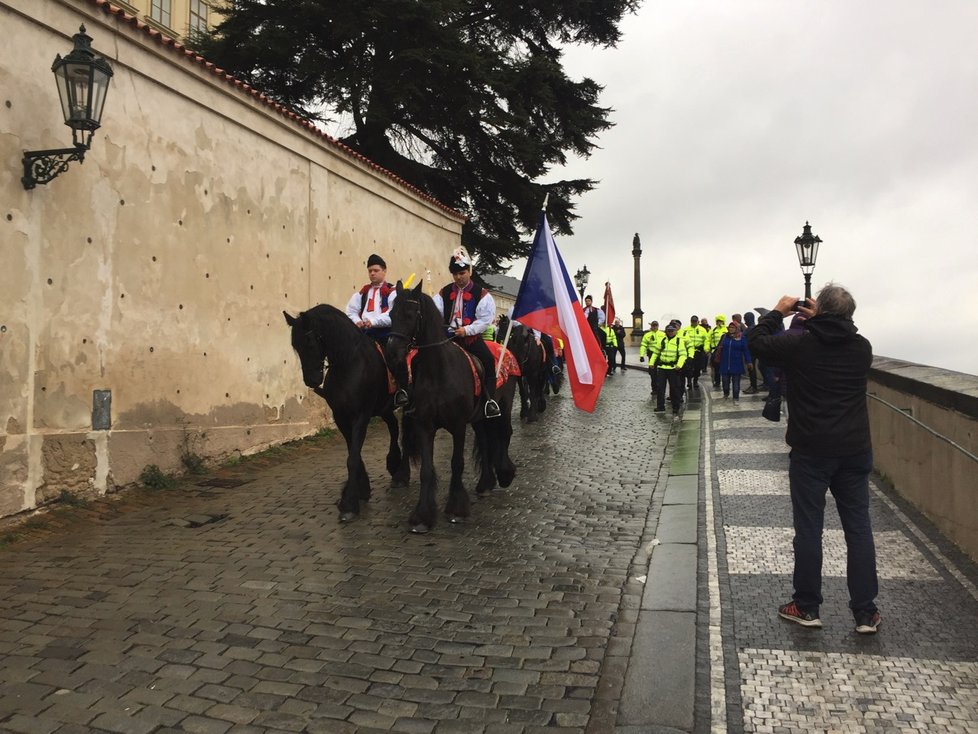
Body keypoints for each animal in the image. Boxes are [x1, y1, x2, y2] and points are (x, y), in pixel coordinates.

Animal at [282, 304, 408, 524]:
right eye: (295, 345)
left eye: (310, 342)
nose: (312, 380)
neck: (349, 364)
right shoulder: (341, 417)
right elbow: (353, 454)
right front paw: (361, 490)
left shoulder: (361, 416)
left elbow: (352, 458)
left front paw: (349, 504)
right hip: (383, 408)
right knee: (393, 426)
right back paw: (393, 463)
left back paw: (401, 473)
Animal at [386, 284, 520, 536]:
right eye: (390, 314)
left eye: (410, 315)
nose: (392, 354)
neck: (439, 371)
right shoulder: (424, 425)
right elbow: (426, 470)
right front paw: (422, 516)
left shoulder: (458, 426)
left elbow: (457, 463)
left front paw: (457, 509)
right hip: (478, 419)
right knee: (485, 442)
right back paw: (485, 483)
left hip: (504, 406)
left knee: (505, 433)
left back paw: (505, 474)